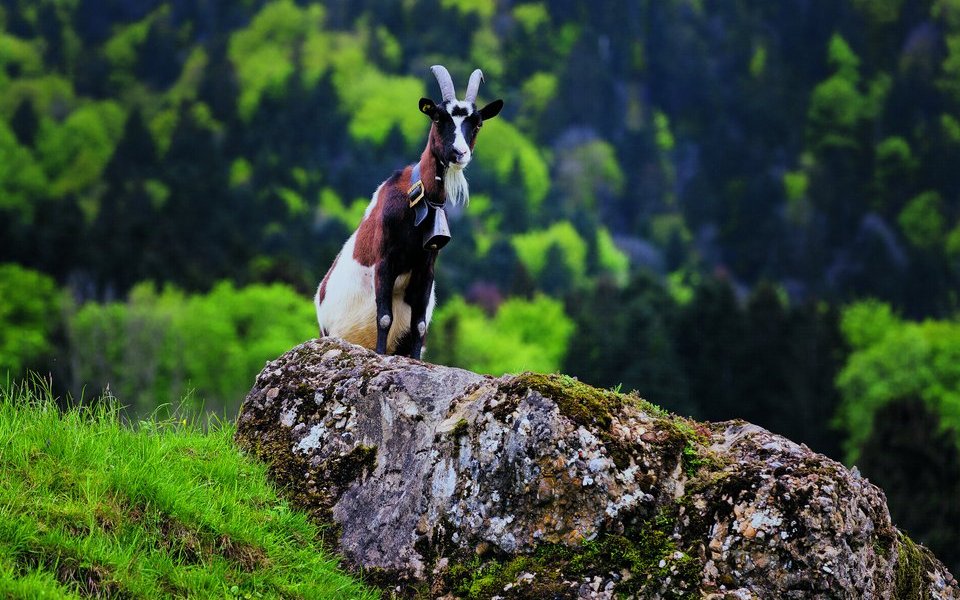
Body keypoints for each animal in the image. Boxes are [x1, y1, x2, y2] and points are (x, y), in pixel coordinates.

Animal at [316, 65, 506, 358]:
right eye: (438, 118)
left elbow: (419, 325)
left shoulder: (426, 268)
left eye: (477, 123)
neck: (415, 201)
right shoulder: (385, 261)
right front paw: (381, 355)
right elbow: (384, 317)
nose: (459, 153)